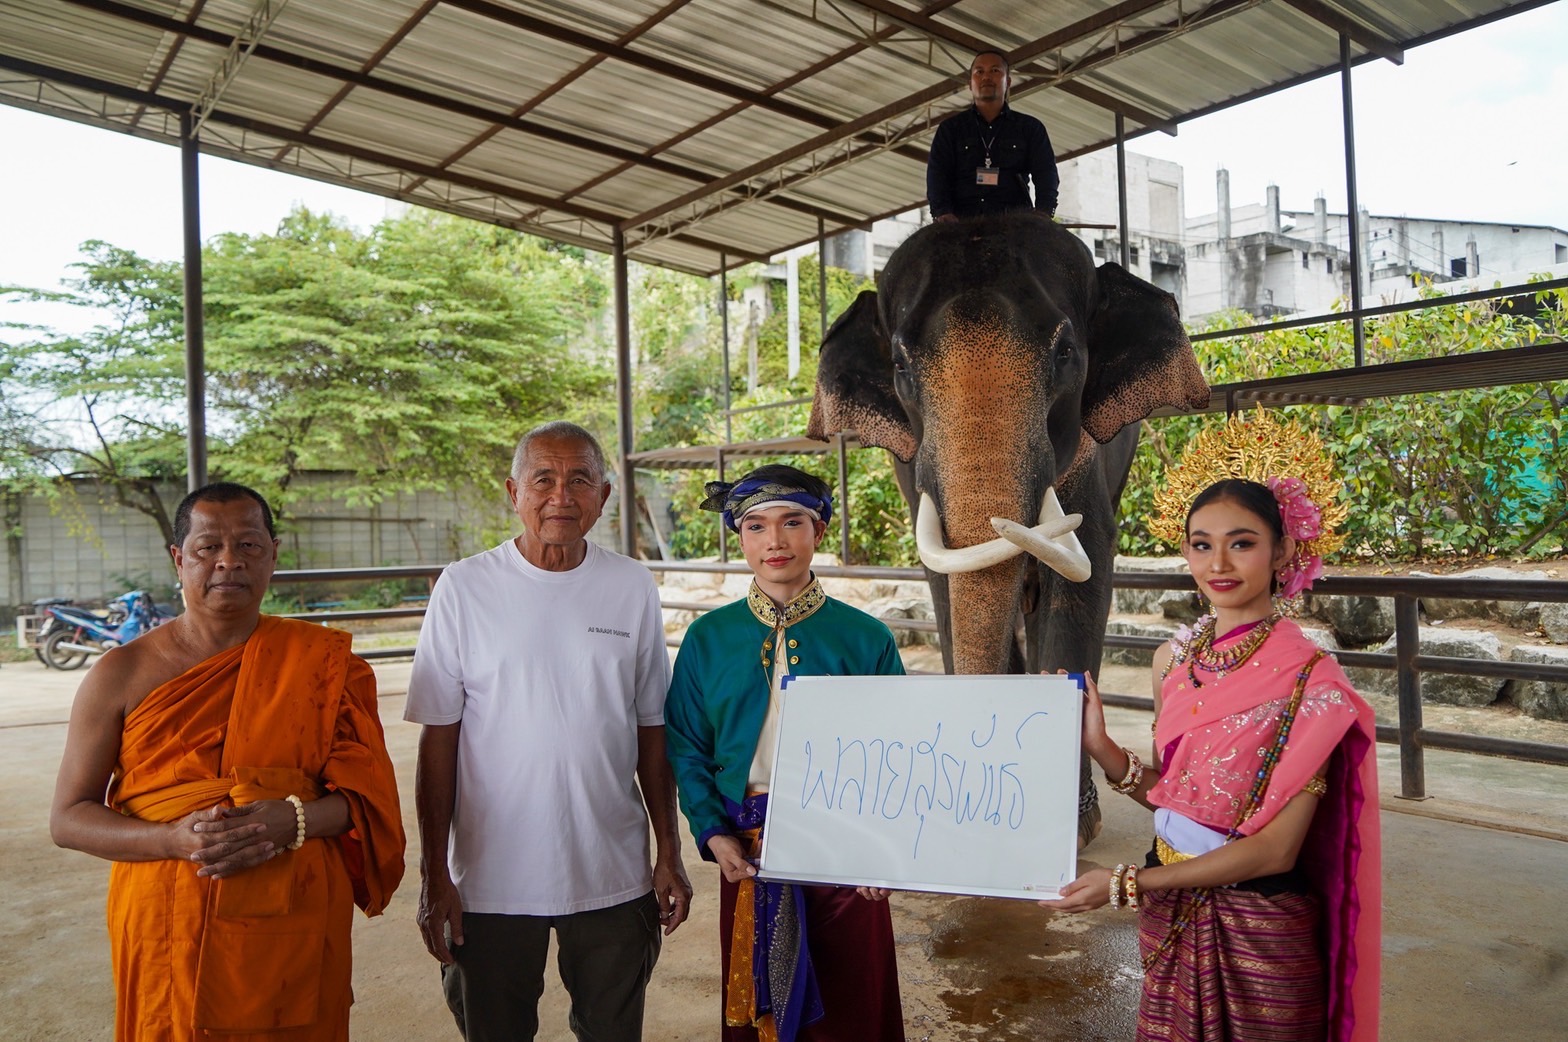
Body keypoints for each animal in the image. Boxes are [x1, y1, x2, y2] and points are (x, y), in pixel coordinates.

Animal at [815, 211, 1204, 846]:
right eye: (900, 366)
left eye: (1066, 352)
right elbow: (944, 583)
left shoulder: (1089, 461)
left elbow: (1082, 575)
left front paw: (1071, 828)